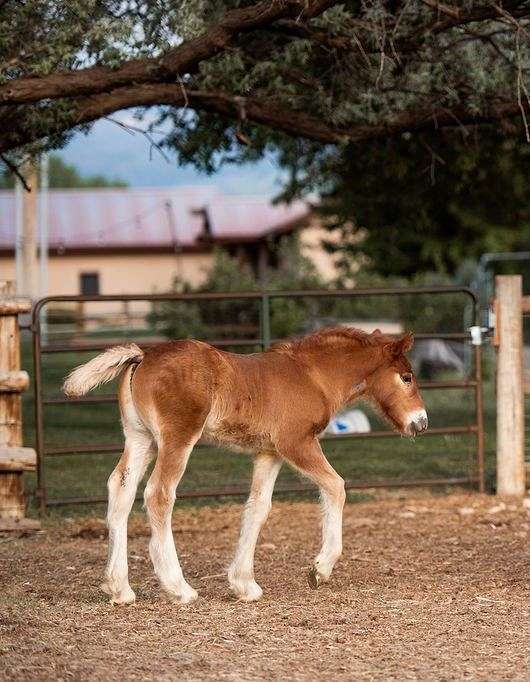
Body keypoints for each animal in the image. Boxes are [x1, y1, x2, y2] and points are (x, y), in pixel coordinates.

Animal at [63, 326, 427, 606]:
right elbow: (335, 486)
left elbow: (258, 508)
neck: (312, 377)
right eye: (407, 377)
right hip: (177, 436)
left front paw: (244, 584)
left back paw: (119, 589)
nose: (421, 423)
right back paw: (179, 588)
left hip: (140, 438)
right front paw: (319, 569)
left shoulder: (269, 452)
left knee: (120, 490)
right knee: (159, 494)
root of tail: (143, 355)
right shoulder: (296, 443)